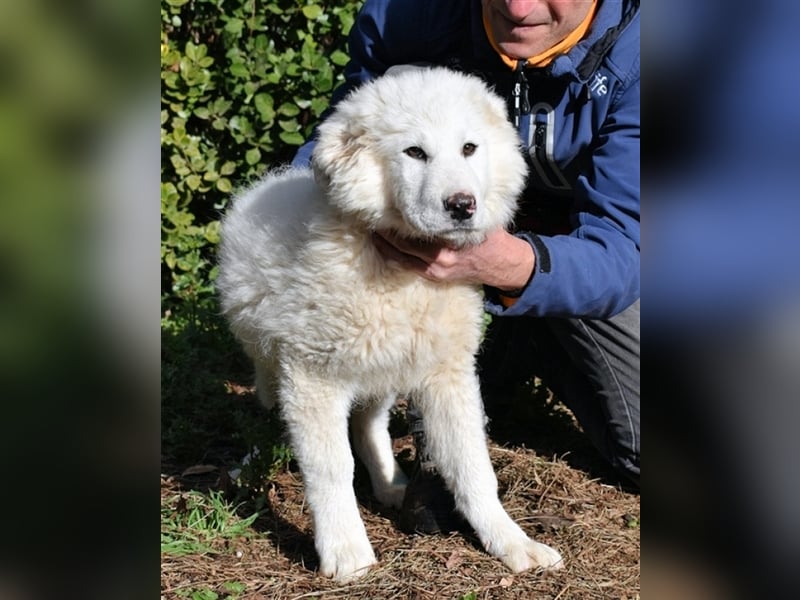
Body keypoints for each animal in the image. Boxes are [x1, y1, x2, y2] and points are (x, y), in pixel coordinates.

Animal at [214, 65, 564, 580]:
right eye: (414, 152)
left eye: (469, 148)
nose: (462, 205)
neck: (405, 274)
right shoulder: (312, 378)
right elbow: (331, 467)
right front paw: (345, 551)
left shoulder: (447, 375)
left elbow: (474, 466)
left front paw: (512, 542)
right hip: (277, 358)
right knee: (276, 402)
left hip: (382, 367)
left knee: (368, 424)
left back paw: (389, 483)